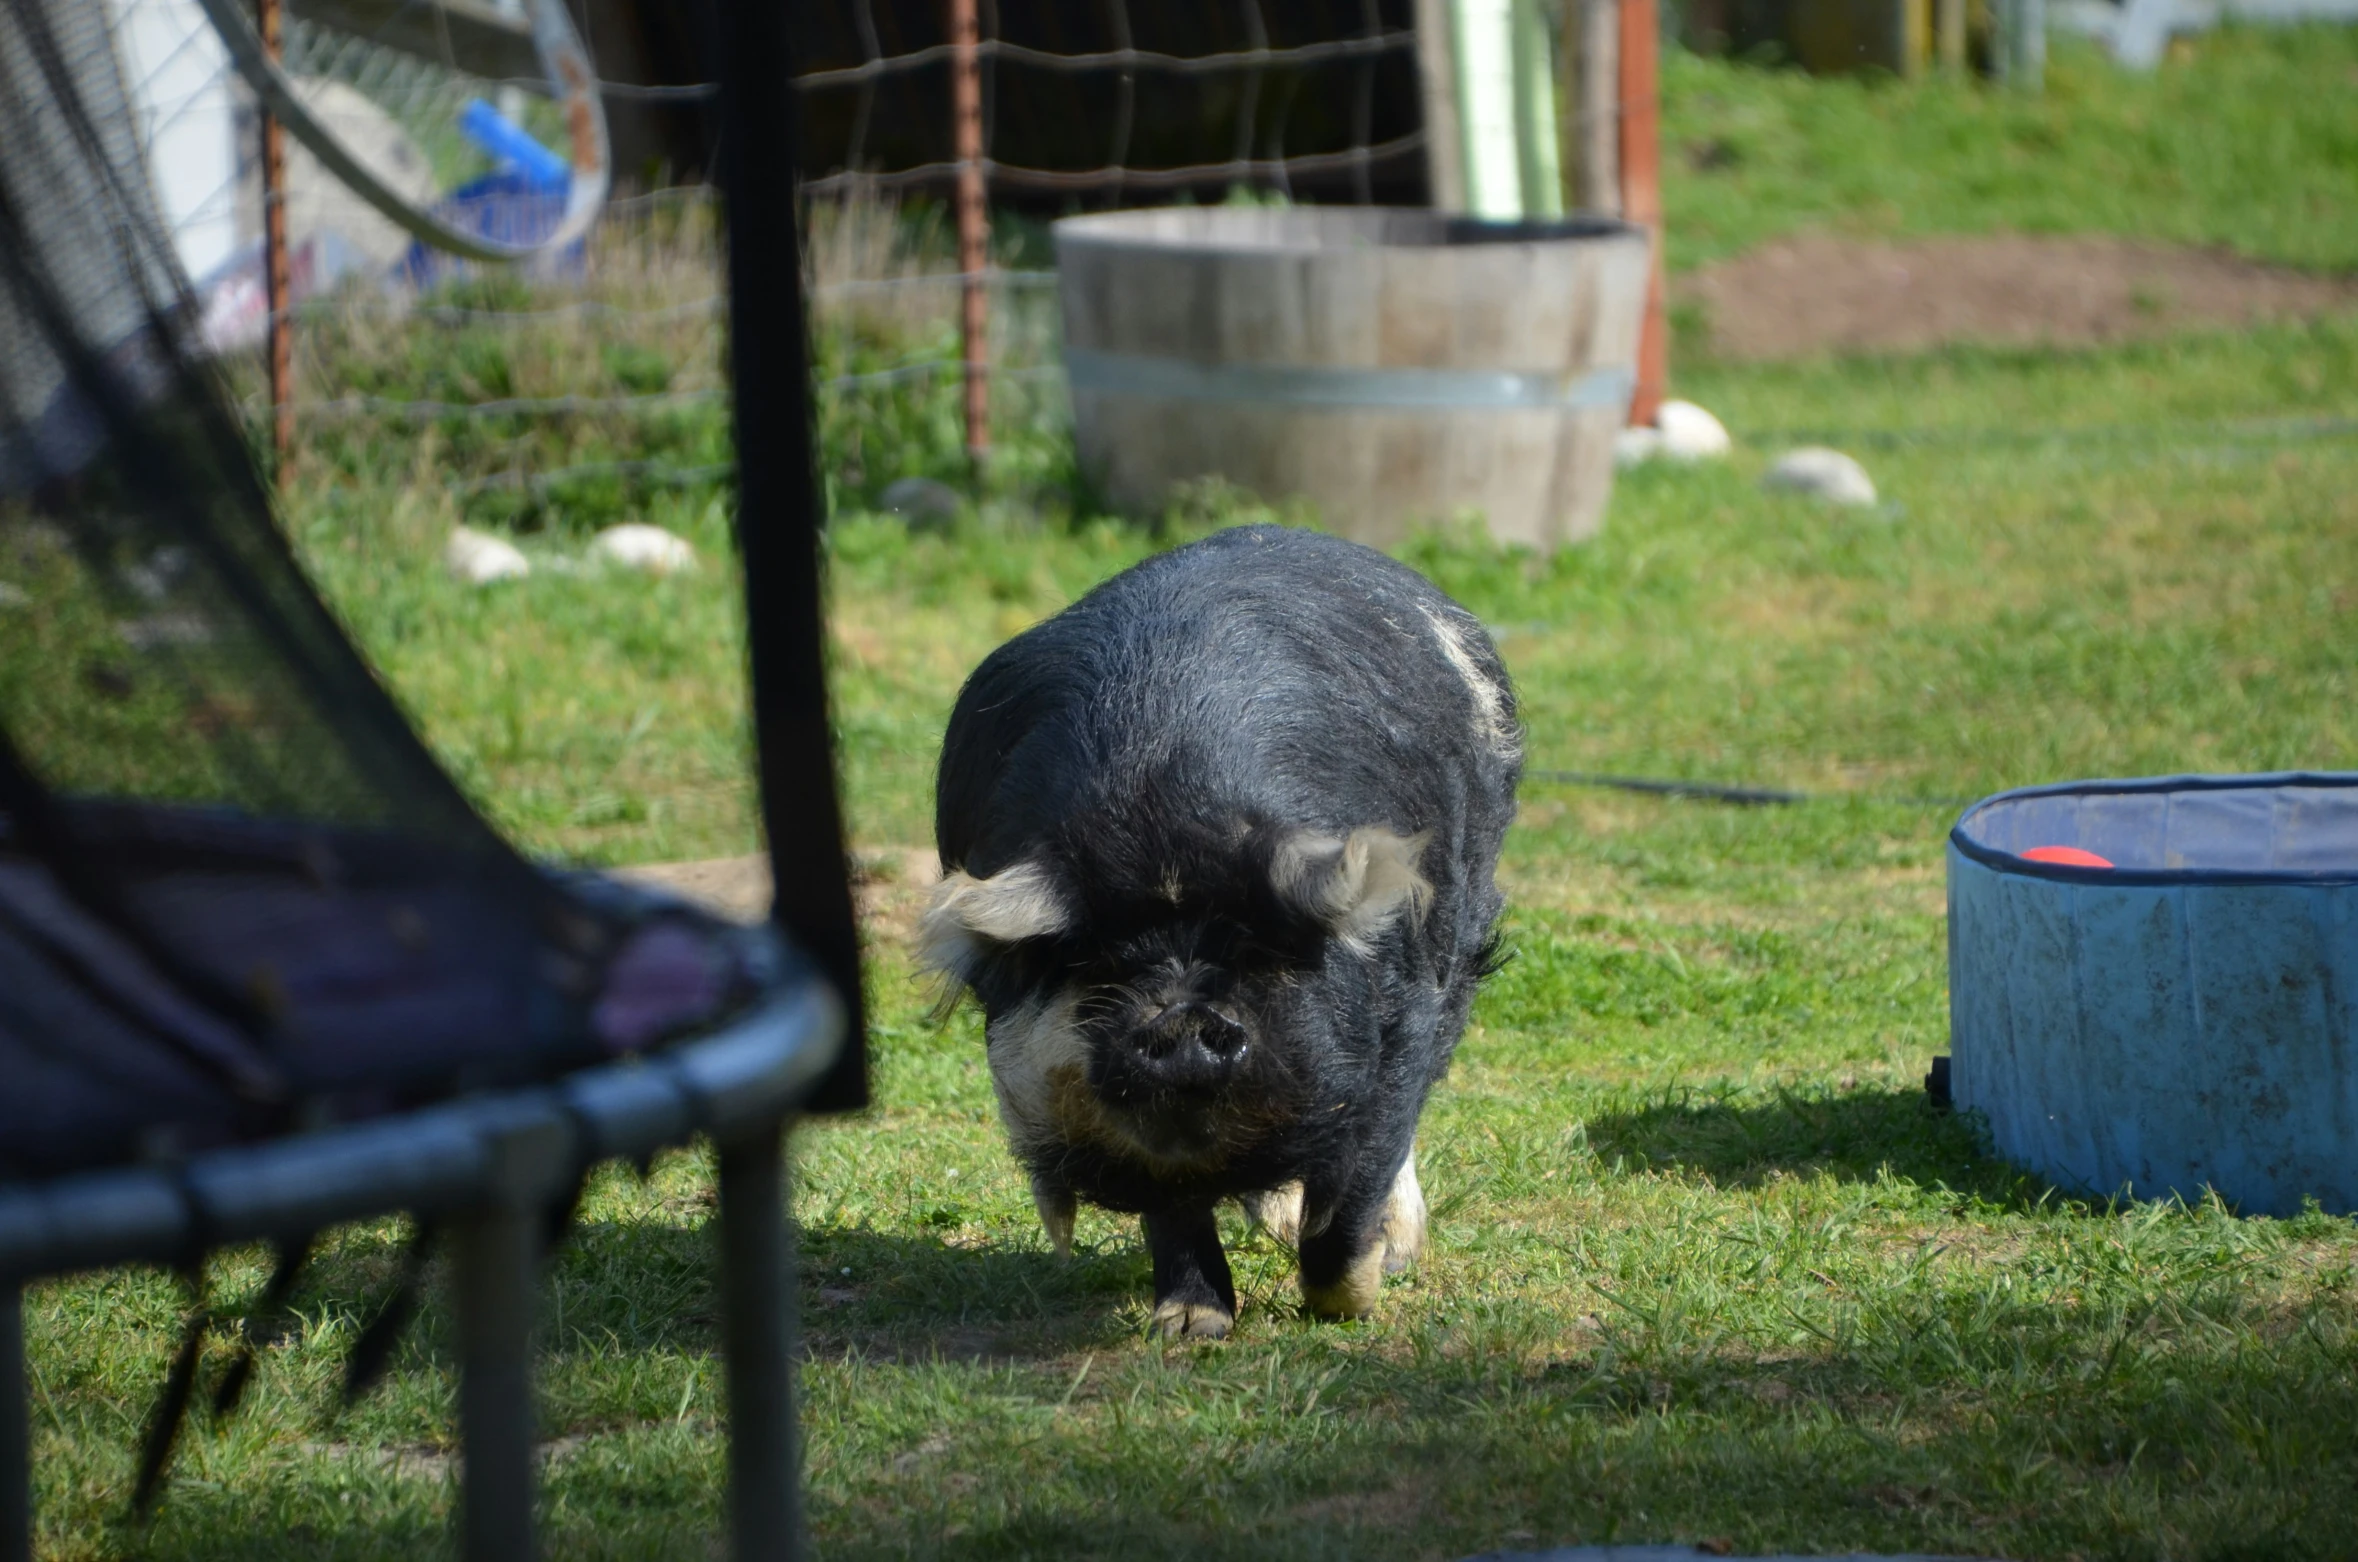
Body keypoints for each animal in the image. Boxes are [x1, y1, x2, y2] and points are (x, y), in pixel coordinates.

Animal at [910, 523, 1518, 1330]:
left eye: (1255, 950)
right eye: (1102, 962)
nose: (1182, 1019)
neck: (1160, 816)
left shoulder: (1407, 1009)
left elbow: (1365, 1163)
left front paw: (1353, 1303)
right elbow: (1172, 1206)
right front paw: (1189, 1329)